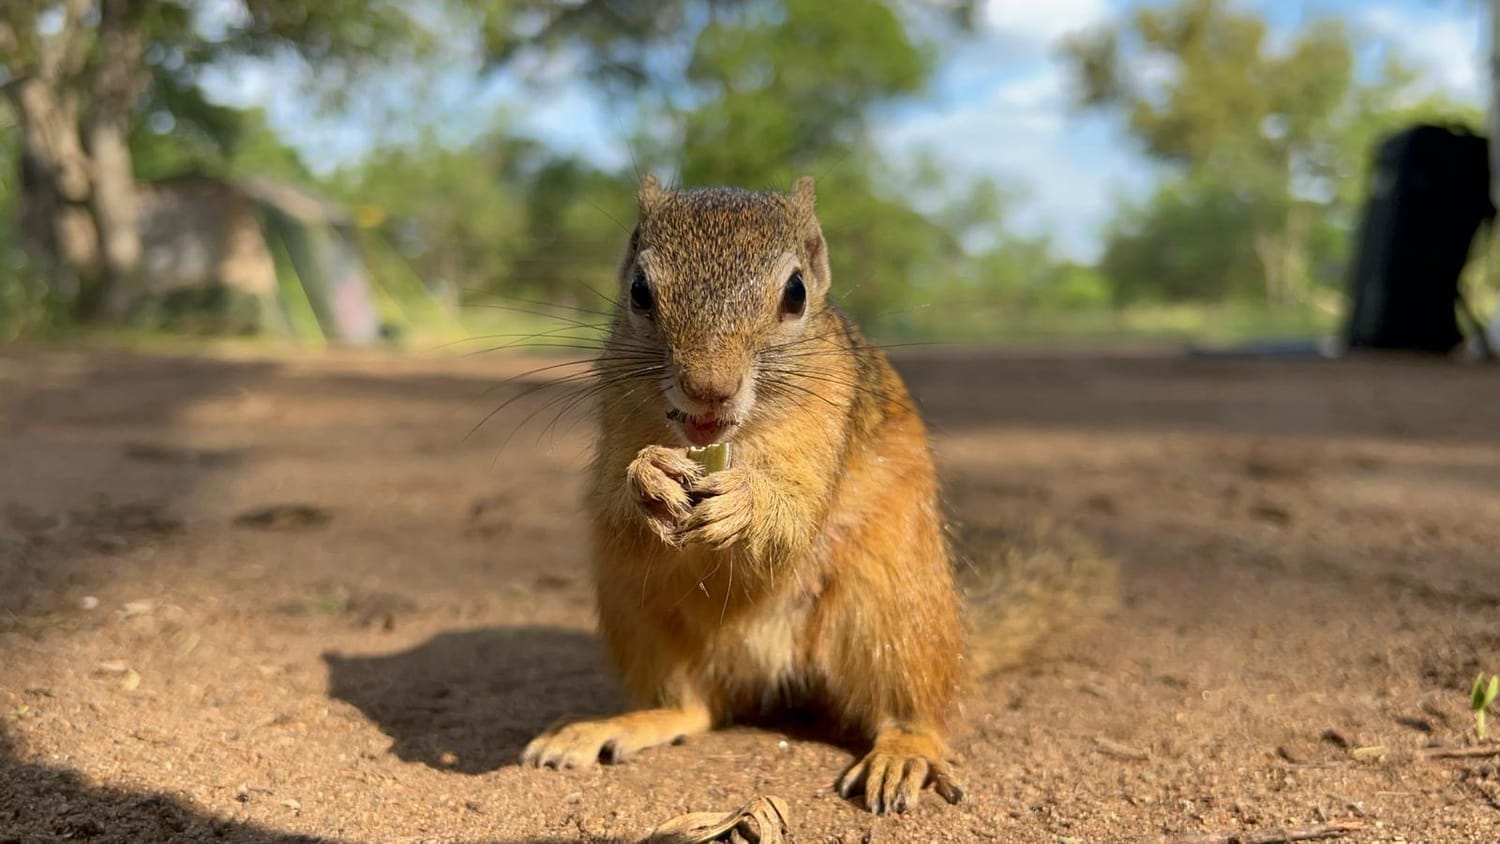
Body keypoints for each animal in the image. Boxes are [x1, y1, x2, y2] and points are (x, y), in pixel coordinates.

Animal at [520, 174, 1068, 814]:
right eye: (638, 291)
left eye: (796, 293)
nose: (709, 388)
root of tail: (774, 666)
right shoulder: (616, 415)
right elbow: (612, 494)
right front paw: (649, 476)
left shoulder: (829, 421)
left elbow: (800, 511)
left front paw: (748, 503)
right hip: (638, 609)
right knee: (693, 706)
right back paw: (618, 725)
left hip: (891, 607)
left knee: (913, 707)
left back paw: (903, 752)